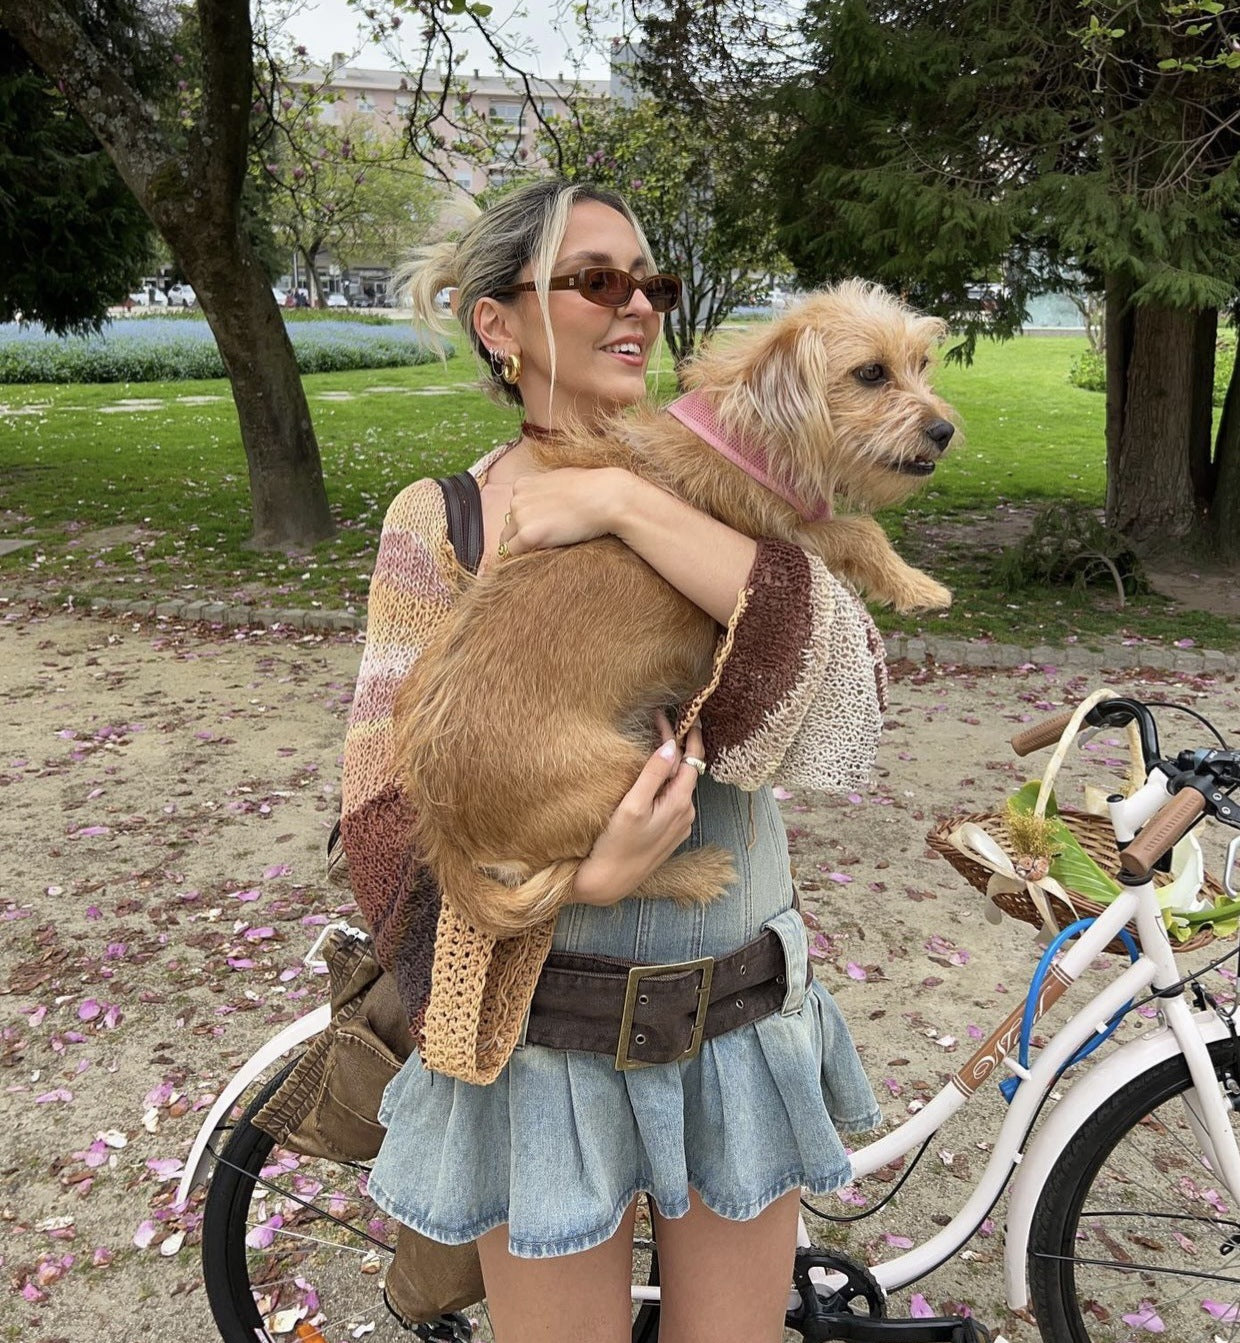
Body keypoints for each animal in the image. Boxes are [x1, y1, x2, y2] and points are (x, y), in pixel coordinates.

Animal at [392, 280, 956, 934]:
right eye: (871, 372)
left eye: (922, 363)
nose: (945, 430)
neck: (744, 435)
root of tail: (445, 833)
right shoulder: (787, 532)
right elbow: (860, 530)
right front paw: (918, 586)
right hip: (626, 780)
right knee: (598, 876)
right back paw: (696, 873)